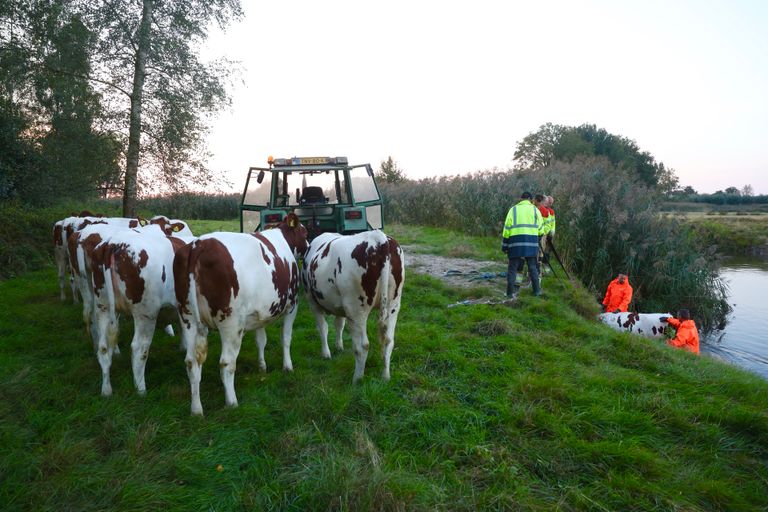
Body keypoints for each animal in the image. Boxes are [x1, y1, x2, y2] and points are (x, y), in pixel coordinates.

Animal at [172, 212, 308, 416]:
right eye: (305, 232)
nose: (308, 245)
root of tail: (199, 245)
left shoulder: (260, 313)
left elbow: (261, 340)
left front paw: (262, 366)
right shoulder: (293, 305)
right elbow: (286, 338)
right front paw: (287, 366)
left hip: (187, 317)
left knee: (191, 362)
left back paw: (196, 409)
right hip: (231, 322)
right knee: (226, 363)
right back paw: (232, 402)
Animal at [302, 230, 408, 382]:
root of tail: (378, 237)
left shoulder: (312, 301)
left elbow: (323, 328)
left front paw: (326, 353)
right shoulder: (341, 306)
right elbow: (339, 324)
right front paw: (338, 347)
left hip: (357, 309)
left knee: (362, 346)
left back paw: (357, 379)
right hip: (393, 305)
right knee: (388, 341)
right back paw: (385, 376)